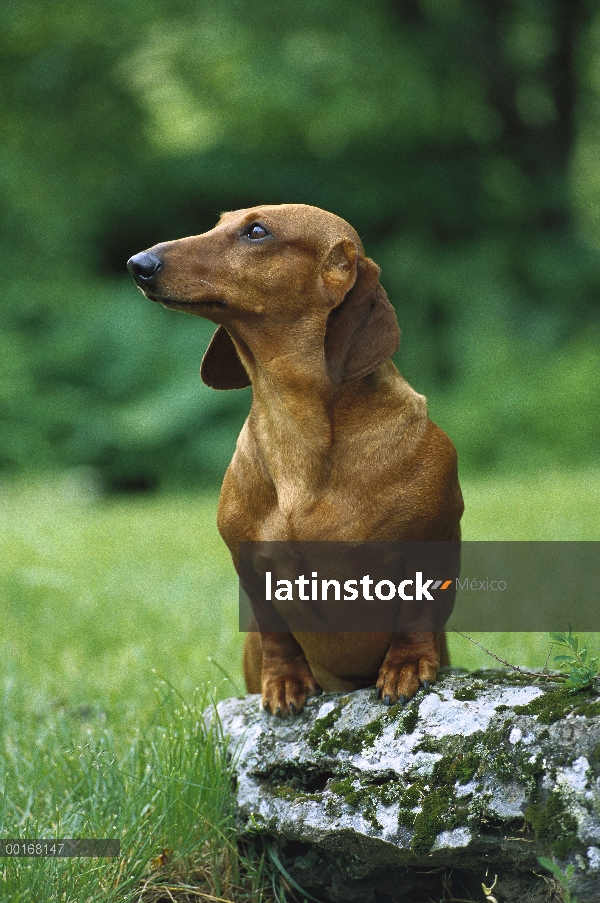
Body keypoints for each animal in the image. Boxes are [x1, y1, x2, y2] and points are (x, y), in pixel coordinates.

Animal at [127, 203, 464, 712]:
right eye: (218, 222)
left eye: (257, 231)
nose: (138, 263)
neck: (297, 433)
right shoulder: (251, 569)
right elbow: (276, 634)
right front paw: (285, 682)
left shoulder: (432, 541)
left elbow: (415, 617)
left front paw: (405, 666)